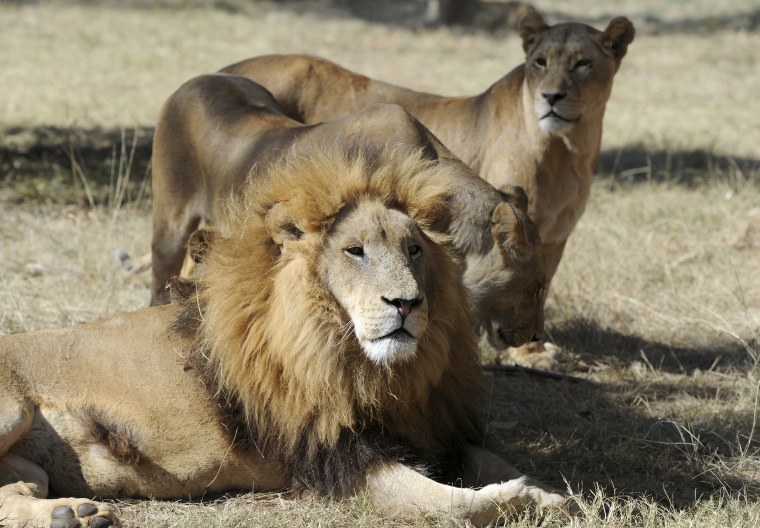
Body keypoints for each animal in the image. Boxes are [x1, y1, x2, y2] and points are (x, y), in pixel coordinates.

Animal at [0, 144, 568, 528]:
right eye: (355, 251)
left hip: (31, 465)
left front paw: (549, 491)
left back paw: (72, 513)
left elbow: (491, 461)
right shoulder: (338, 456)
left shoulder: (430, 427)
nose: (406, 303)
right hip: (12, 412)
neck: (367, 365)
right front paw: (522, 498)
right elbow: (447, 504)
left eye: (414, 251)